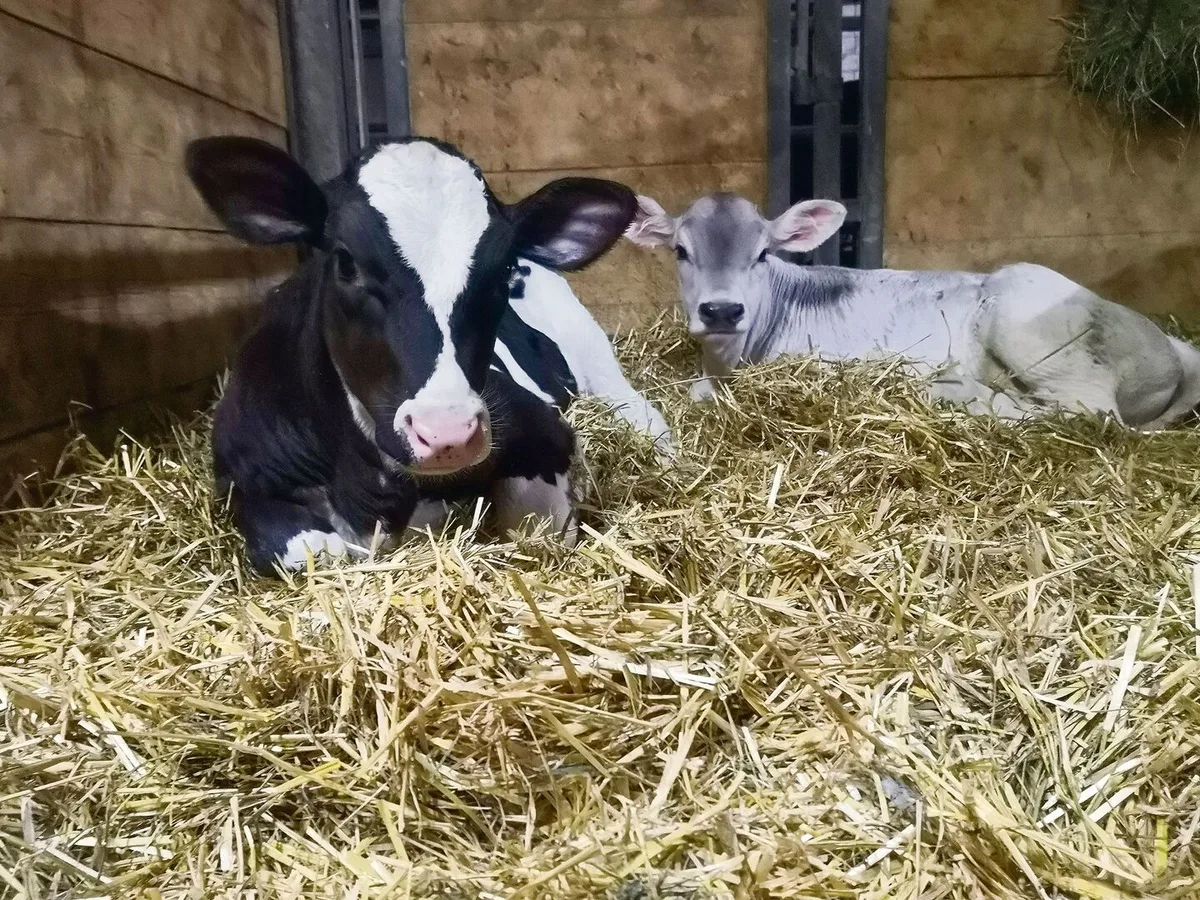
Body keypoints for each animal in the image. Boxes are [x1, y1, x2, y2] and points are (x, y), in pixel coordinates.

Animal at [185, 135, 672, 575]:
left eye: (502, 270)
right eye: (345, 262)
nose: (447, 433)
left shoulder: (544, 431)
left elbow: (537, 525)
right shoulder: (241, 478)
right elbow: (308, 553)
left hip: (594, 352)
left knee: (640, 411)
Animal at [625, 191, 1200, 429]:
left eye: (763, 253)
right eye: (680, 251)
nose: (722, 310)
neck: (727, 363)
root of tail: (1169, 347)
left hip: (1033, 324)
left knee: (1088, 410)